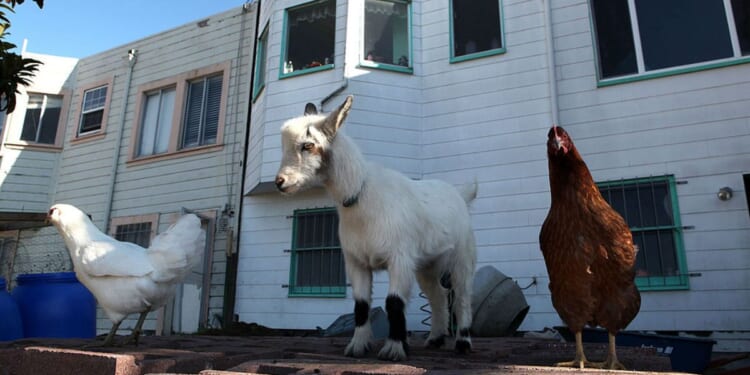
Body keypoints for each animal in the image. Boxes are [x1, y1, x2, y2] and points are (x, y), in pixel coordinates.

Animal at [274, 96, 476, 362]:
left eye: (308, 145)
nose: (280, 182)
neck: (362, 195)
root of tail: (460, 194)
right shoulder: (356, 262)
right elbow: (361, 305)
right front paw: (357, 346)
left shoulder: (399, 259)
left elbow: (394, 303)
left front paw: (394, 349)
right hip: (426, 265)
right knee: (438, 294)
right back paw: (435, 338)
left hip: (462, 256)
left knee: (462, 296)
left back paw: (463, 342)